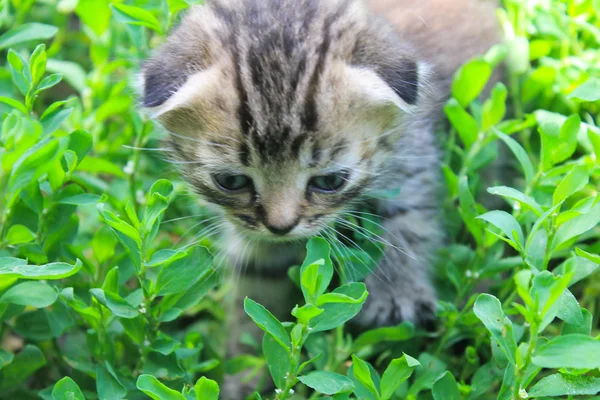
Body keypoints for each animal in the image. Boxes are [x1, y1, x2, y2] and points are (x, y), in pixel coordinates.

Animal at [143, 0, 500, 354]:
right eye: (231, 182)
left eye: (330, 182)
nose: (281, 227)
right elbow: (261, 278)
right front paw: (247, 358)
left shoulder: (411, 153)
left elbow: (404, 220)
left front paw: (396, 293)